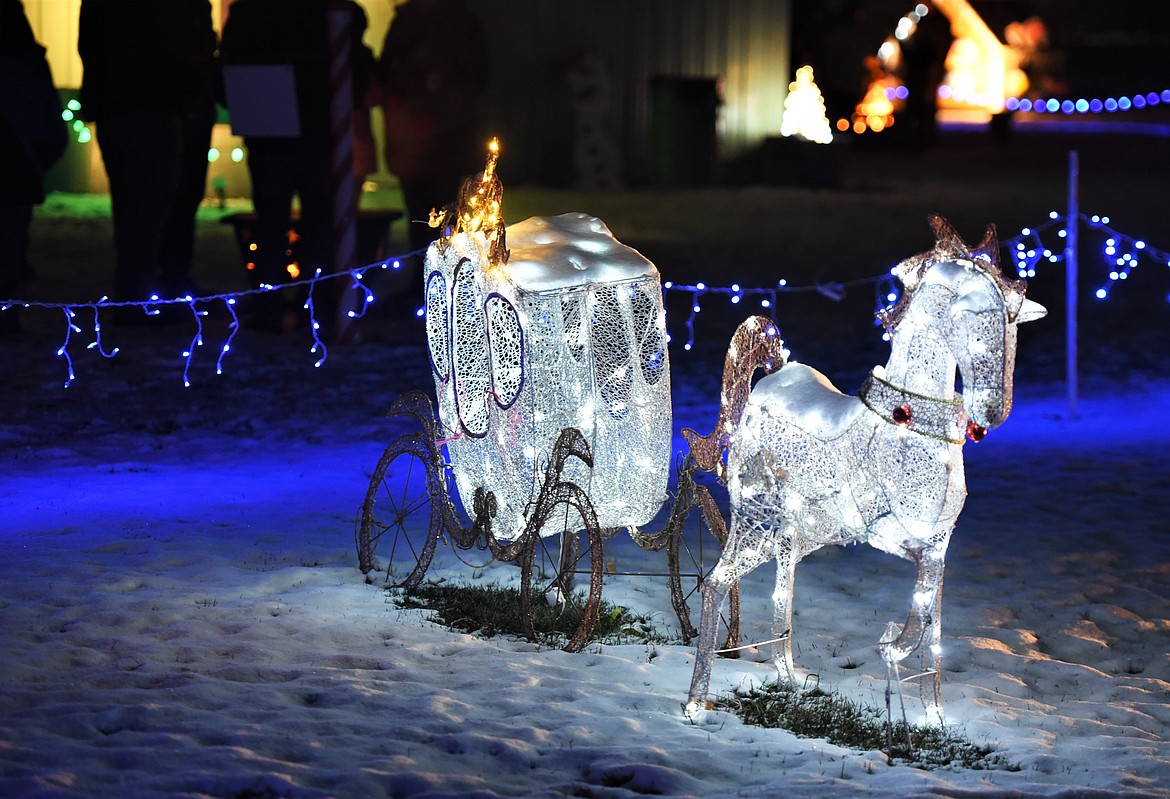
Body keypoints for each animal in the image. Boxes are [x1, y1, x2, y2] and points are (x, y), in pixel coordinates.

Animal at [683, 217, 1048, 720]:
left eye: (1014, 327)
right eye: (973, 318)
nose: (993, 411)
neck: (907, 427)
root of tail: (770, 379)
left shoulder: (940, 544)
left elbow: (932, 620)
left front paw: (934, 714)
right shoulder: (891, 535)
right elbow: (920, 611)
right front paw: (893, 646)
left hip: (796, 534)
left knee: (783, 591)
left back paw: (789, 677)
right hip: (756, 524)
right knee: (717, 583)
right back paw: (695, 702)